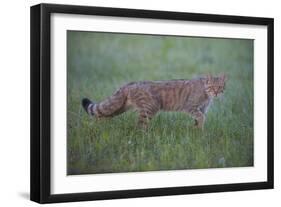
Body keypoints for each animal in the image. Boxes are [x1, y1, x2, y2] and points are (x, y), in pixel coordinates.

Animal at [81, 74, 225, 129]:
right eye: (212, 87)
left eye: (220, 87)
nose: (216, 93)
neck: (206, 94)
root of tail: (129, 84)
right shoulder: (191, 107)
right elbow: (200, 117)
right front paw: (200, 129)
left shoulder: (202, 109)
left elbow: (198, 120)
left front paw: (197, 132)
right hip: (149, 109)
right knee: (139, 127)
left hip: (119, 107)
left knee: (101, 114)